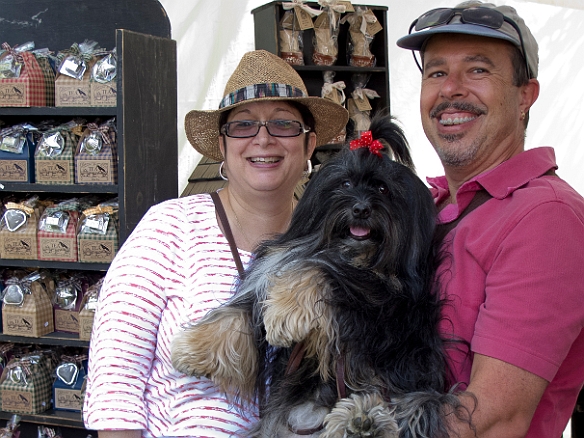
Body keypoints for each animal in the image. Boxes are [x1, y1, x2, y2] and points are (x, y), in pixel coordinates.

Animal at [172, 114, 470, 436]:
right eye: (346, 183)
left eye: (383, 189)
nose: (361, 209)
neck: (346, 252)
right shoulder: (271, 268)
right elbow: (237, 312)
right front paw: (192, 351)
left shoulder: (379, 299)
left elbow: (321, 269)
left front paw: (284, 315)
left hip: (412, 388)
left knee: (403, 407)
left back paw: (365, 420)